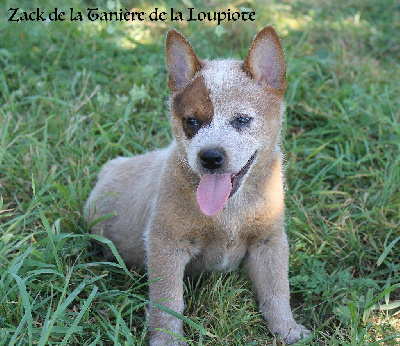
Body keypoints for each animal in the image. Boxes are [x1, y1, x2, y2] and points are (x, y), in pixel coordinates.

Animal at [86, 25, 310, 344]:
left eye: (242, 120)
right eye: (191, 121)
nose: (210, 156)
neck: (230, 211)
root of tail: (109, 167)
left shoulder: (269, 240)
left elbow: (277, 289)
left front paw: (288, 329)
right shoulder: (167, 244)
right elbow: (168, 300)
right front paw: (168, 339)